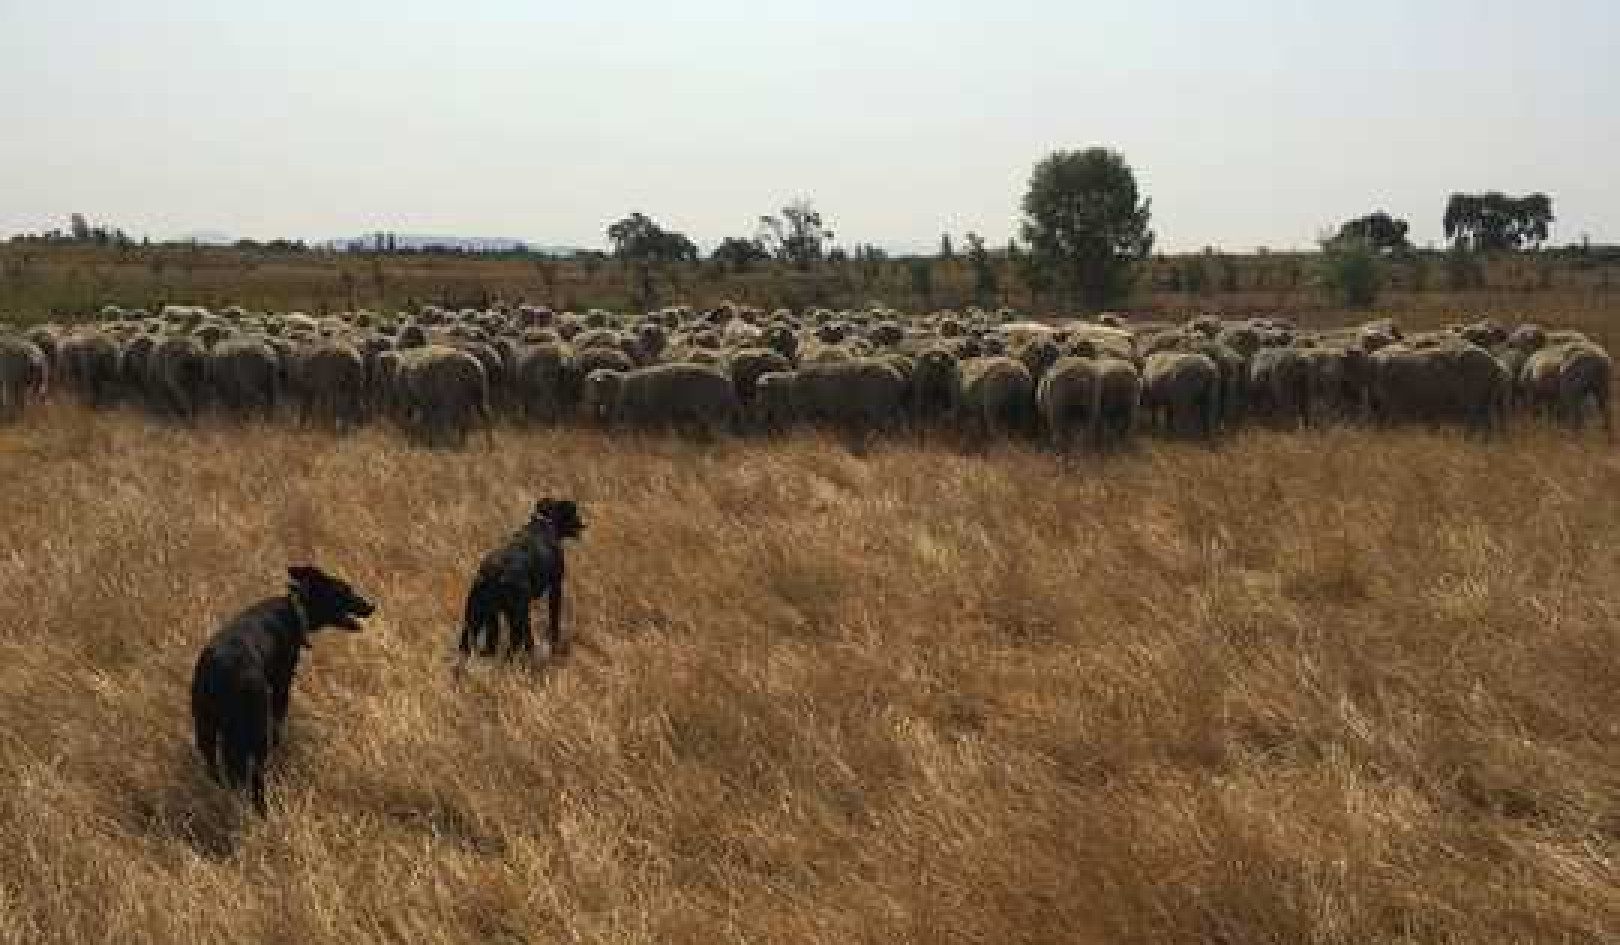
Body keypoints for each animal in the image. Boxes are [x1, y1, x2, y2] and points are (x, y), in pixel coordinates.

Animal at [187, 567, 370, 816]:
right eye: (344, 590)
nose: (372, 606)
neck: (294, 610)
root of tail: (220, 670)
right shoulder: (281, 686)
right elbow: (278, 725)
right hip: (253, 729)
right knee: (254, 776)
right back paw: (262, 811)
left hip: (206, 730)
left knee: (217, 771)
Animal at [460, 499, 586, 661]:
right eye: (573, 512)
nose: (583, 523)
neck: (545, 523)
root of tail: (493, 573)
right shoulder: (555, 587)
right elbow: (553, 622)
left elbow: (528, 633)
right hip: (513, 613)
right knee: (512, 644)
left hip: (478, 616)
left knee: (473, 645)